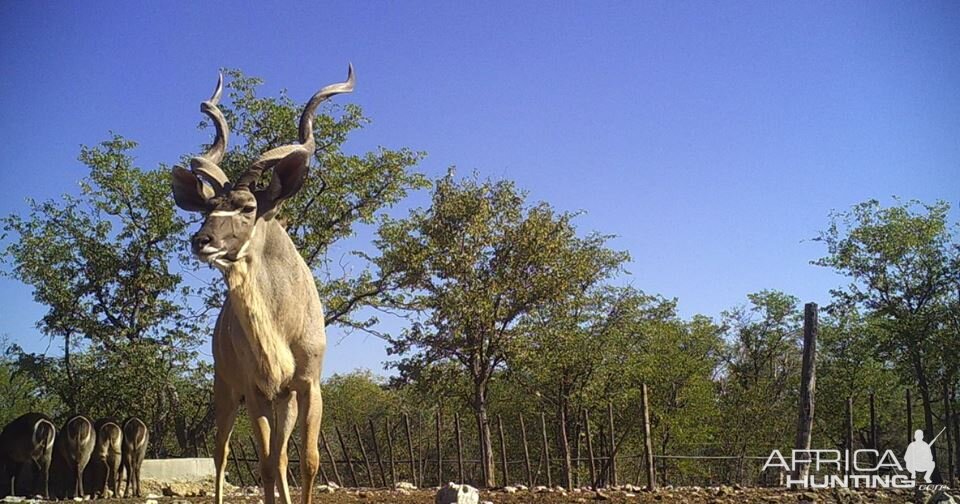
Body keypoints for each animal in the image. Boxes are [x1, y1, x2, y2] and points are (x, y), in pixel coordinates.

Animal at [171, 67, 354, 504]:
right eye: (206, 208)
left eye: (248, 207)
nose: (201, 241)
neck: (281, 327)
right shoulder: (255, 390)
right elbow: (265, 463)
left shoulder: (306, 386)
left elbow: (305, 461)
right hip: (226, 391)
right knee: (222, 455)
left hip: (281, 401)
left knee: (280, 458)